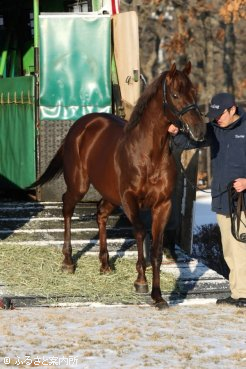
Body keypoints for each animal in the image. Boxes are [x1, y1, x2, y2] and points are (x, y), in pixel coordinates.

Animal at [28, 61, 206, 306]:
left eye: (194, 93)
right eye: (176, 94)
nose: (199, 130)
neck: (149, 154)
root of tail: (81, 125)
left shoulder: (163, 205)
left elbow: (156, 250)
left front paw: (158, 296)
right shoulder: (129, 199)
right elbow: (140, 232)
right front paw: (140, 281)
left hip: (110, 195)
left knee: (101, 214)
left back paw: (104, 264)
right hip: (79, 185)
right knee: (67, 208)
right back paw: (68, 262)